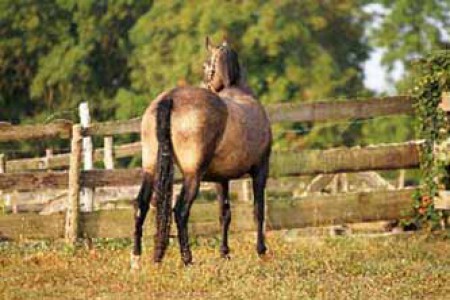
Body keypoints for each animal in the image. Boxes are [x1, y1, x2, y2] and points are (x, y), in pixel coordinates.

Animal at [130, 37, 270, 264]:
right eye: (206, 66)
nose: (206, 83)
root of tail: (170, 98)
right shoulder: (260, 170)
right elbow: (258, 211)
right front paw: (261, 250)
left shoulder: (221, 179)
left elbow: (225, 213)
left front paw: (224, 252)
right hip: (192, 175)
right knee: (180, 210)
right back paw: (187, 258)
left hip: (150, 168)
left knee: (140, 205)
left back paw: (136, 258)